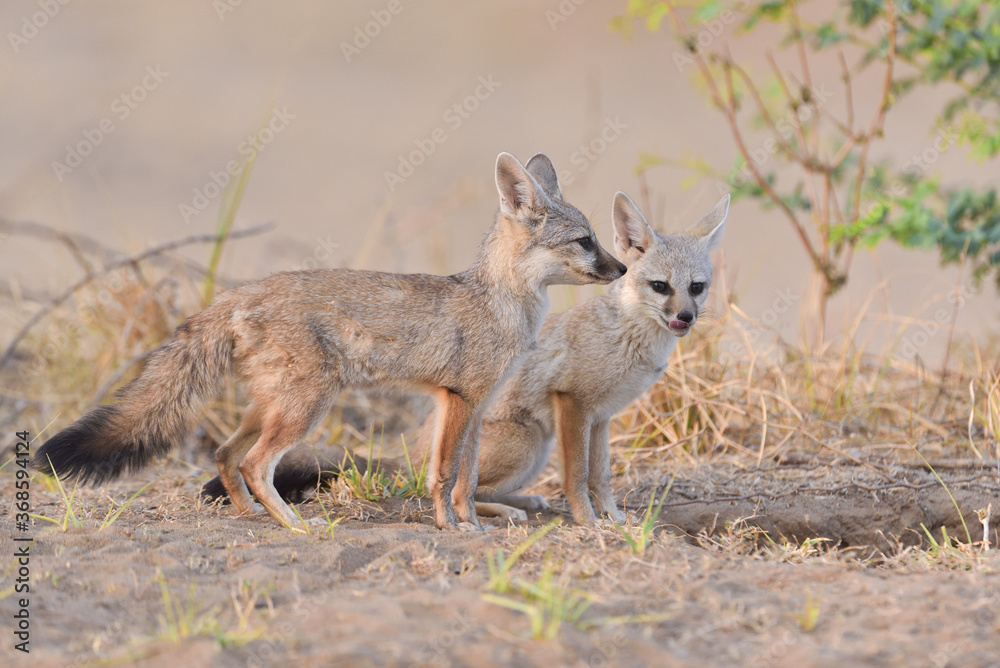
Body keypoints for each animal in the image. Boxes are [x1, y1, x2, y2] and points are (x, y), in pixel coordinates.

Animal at [35, 153, 624, 532]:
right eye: (585, 241)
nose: (621, 268)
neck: (500, 301)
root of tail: (239, 294)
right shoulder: (461, 402)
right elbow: (443, 475)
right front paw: (452, 528)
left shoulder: (473, 406)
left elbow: (466, 477)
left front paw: (470, 523)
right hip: (306, 407)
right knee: (255, 464)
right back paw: (294, 524)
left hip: (273, 406)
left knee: (227, 454)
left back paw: (252, 515)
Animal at [207, 190, 732, 524]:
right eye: (660, 286)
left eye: (697, 288)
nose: (684, 318)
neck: (630, 339)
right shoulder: (573, 404)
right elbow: (577, 477)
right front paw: (590, 523)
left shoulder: (600, 418)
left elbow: (601, 477)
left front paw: (617, 519)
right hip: (527, 442)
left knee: (227, 453)